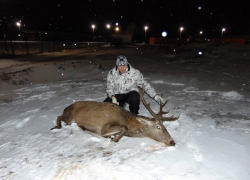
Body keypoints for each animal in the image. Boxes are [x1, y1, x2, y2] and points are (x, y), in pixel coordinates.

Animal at [51, 86, 179, 146]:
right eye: (158, 127)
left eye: (164, 126)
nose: (172, 142)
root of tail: (66, 108)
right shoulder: (105, 127)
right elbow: (122, 129)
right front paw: (113, 138)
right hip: (69, 118)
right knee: (58, 117)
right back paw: (56, 127)